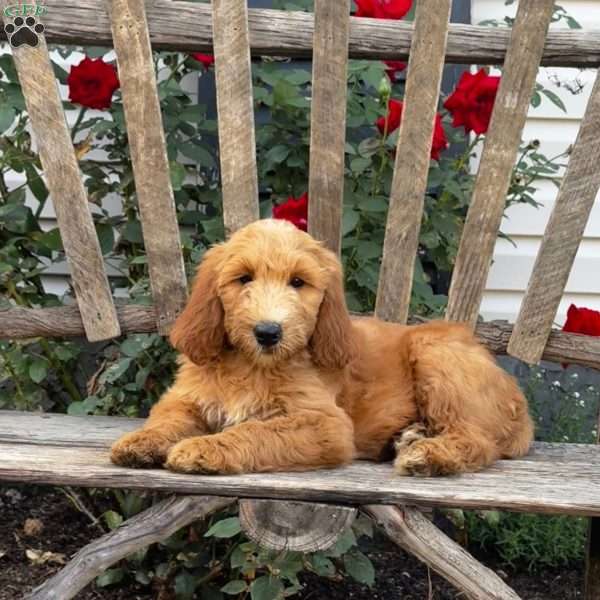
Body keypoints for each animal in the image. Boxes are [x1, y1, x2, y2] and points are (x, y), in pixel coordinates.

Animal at [110, 218, 532, 476]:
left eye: (298, 282)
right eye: (243, 278)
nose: (268, 332)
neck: (251, 366)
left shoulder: (324, 424)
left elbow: (256, 431)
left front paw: (203, 449)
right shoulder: (186, 399)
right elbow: (167, 419)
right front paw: (141, 441)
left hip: (436, 352)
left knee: (477, 439)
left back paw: (428, 453)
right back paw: (410, 436)